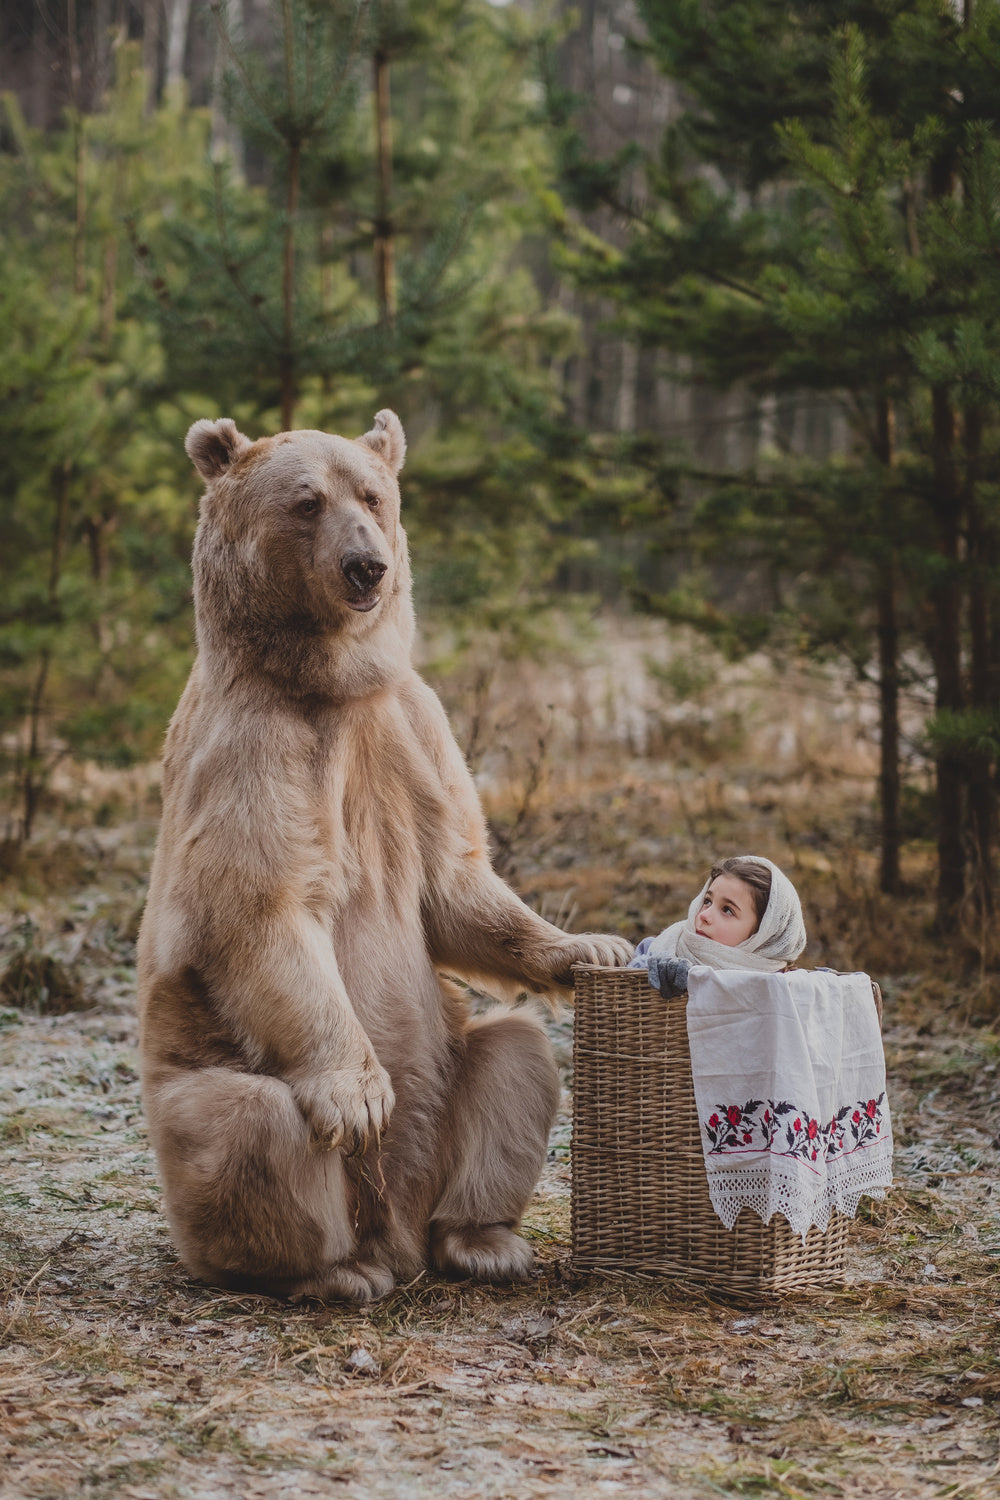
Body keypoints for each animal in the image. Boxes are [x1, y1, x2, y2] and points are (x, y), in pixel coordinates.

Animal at [138, 411, 632, 1302]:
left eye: (373, 495)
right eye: (306, 502)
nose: (366, 565)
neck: (330, 684)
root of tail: (395, 1230)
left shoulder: (411, 725)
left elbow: (453, 881)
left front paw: (592, 946)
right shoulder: (252, 747)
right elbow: (259, 907)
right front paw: (360, 1095)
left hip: (451, 1085)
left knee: (517, 1056)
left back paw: (481, 1241)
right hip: (200, 1091)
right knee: (250, 1128)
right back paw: (331, 1271)